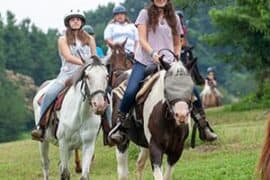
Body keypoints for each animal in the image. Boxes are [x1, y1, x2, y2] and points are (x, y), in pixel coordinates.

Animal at [110, 51, 195, 180]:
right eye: (167, 87)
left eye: (190, 86)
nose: (181, 115)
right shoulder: (155, 148)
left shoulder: (176, 151)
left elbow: (167, 176)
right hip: (122, 142)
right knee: (123, 173)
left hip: (144, 145)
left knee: (139, 164)